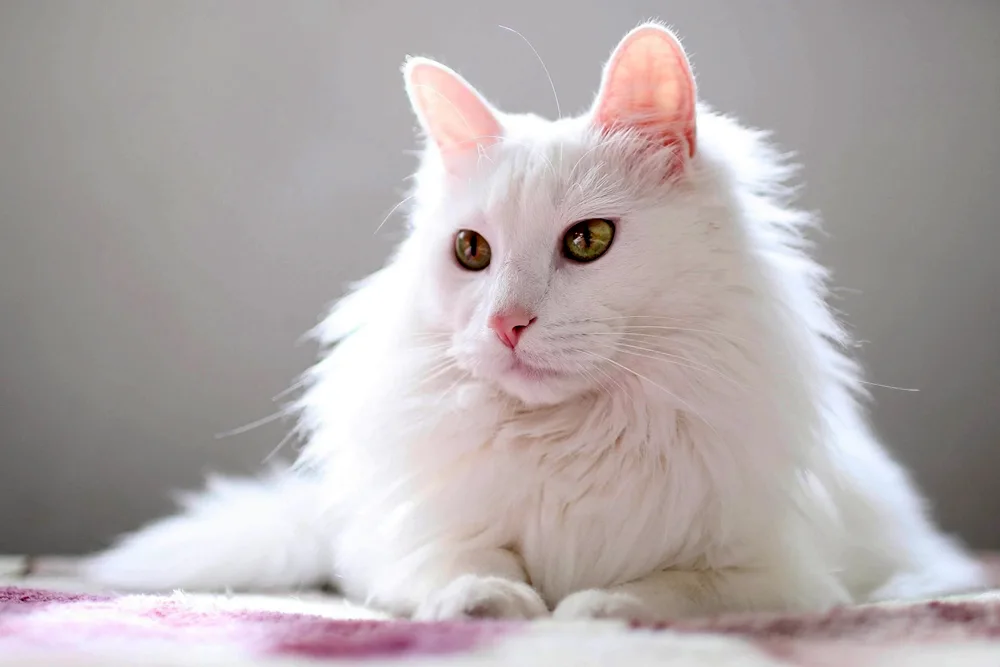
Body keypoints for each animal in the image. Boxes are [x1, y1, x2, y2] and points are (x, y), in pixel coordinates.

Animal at [84, 20, 984, 624]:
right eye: (471, 251)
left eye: (587, 241)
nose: (509, 324)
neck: (574, 437)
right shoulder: (406, 541)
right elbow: (468, 563)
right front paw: (493, 603)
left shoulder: (775, 573)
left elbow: (662, 589)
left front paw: (591, 609)